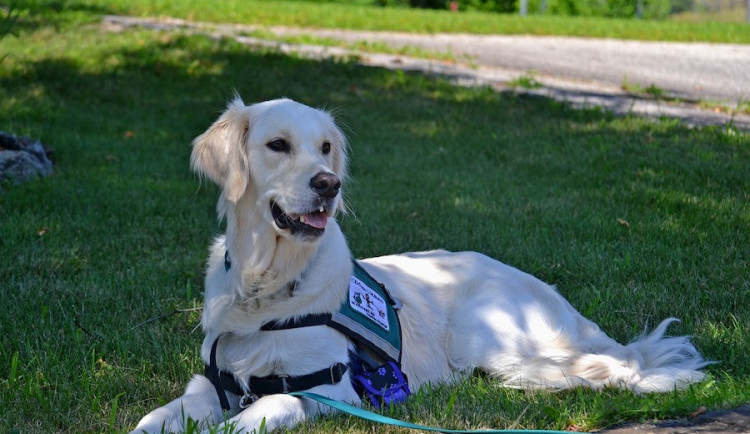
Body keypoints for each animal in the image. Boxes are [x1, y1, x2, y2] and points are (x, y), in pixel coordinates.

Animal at [134, 96, 704, 432]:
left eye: (325, 148)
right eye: (278, 145)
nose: (328, 184)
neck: (267, 287)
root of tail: (556, 297)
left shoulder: (325, 389)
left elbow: (254, 415)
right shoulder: (212, 382)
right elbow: (154, 418)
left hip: (488, 336)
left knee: (610, 368)